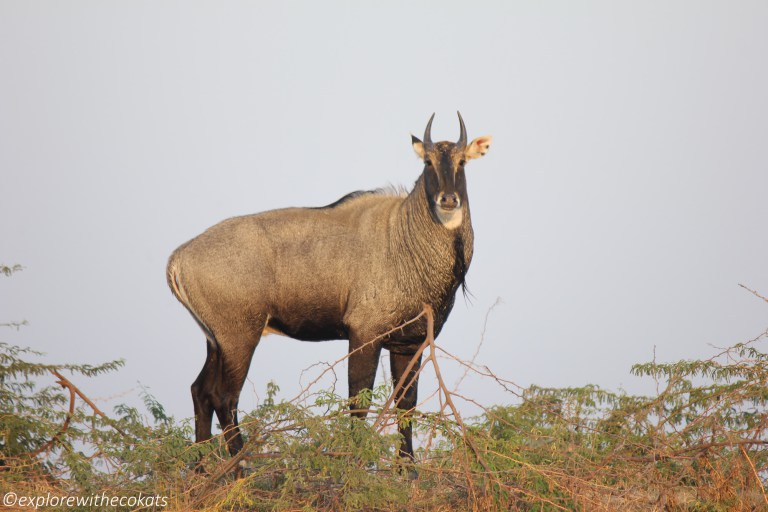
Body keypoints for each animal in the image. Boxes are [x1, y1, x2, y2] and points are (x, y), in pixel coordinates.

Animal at [167, 112, 492, 472]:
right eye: (428, 161)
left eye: (462, 161)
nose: (447, 199)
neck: (402, 236)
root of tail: (178, 259)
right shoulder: (364, 334)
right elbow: (358, 403)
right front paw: (356, 468)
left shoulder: (409, 342)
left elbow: (406, 404)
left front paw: (408, 471)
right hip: (240, 338)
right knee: (224, 398)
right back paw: (238, 470)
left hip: (215, 341)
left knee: (201, 391)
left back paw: (201, 471)